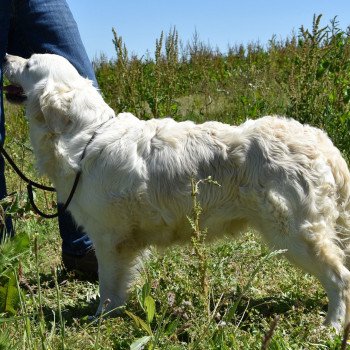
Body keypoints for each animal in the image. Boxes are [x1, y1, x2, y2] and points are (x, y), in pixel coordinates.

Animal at [4, 53, 350, 330]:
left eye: (30, 63)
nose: (6, 56)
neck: (85, 135)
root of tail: (323, 144)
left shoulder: (109, 237)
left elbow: (107, 285)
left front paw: (100, 317)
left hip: (294, 234)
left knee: (341, 279)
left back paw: (331, 327)